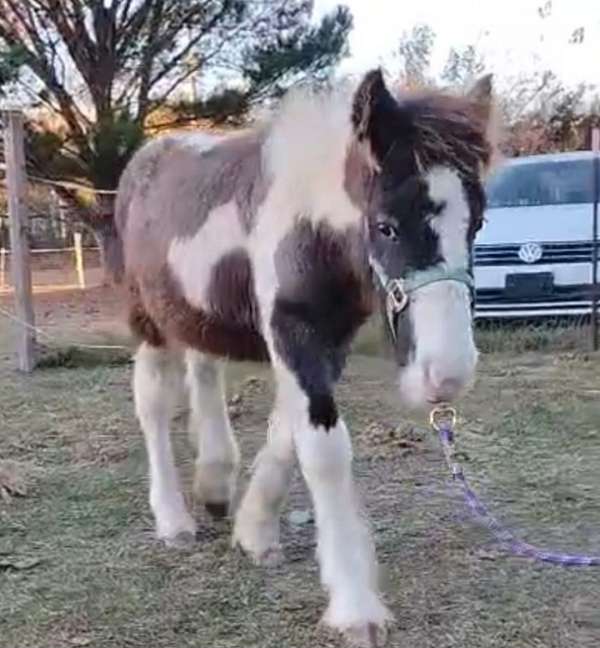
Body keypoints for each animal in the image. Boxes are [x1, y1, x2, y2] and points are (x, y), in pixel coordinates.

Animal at [113, 68, 496, 644]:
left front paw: (253, 534)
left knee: (204, 371)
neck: (310, 229)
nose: (446, 376)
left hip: (200, 313)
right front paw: (355, 605)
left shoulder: (327, 341)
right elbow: (323, 449)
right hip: (149, 321)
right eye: (385, 225)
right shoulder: (293, 332)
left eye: (478, 224)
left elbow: (286, 433)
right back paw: (174, 520)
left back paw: (215, 484)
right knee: (154, 403)